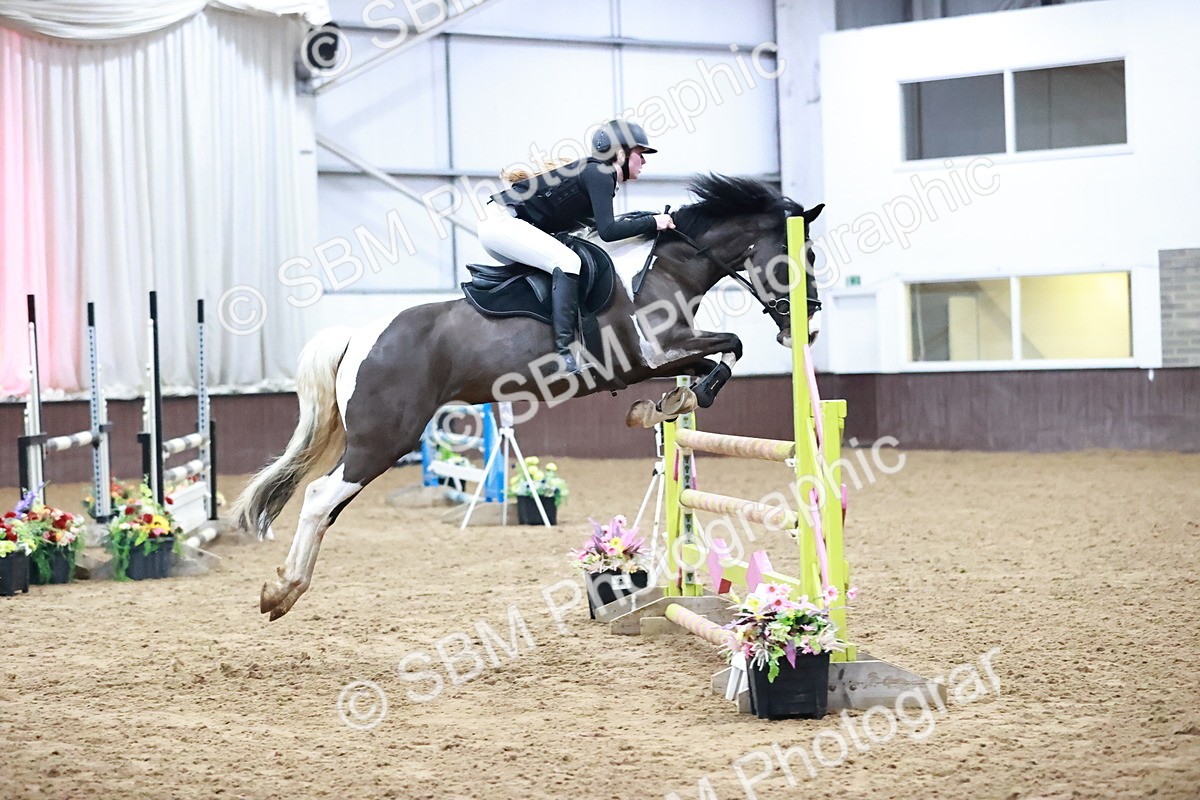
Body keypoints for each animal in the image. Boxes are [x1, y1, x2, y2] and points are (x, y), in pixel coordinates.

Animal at [236, 174, 824, 620]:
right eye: (799, 254)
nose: (808, 324)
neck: (663, 268)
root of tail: (359, 336)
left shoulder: (664, 356)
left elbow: (717, 358)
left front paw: (666, 406)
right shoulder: (651, 355)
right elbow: (731, 347)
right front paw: (686, 397)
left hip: (374, 440)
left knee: (328, 505)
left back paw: (284, 590)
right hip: (385, 438)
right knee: (320, 497)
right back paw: (283, 591)